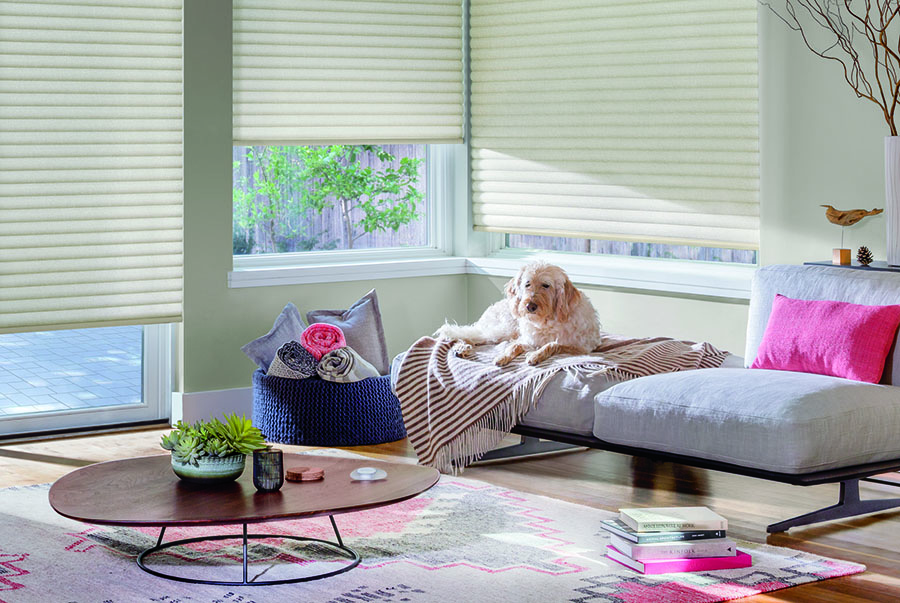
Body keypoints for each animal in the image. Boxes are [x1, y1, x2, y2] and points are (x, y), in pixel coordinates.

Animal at [436, 262, 604, 366]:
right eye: (527, 284)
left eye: (546, 285)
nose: (530, 306)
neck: (545, 322)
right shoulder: (527, 339)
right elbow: (514, 347)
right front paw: (502, 357)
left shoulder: (582, 347)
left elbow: (553, 344)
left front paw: (535, 355)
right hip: (502, 331)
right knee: (470, 335)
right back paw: (461, 348)